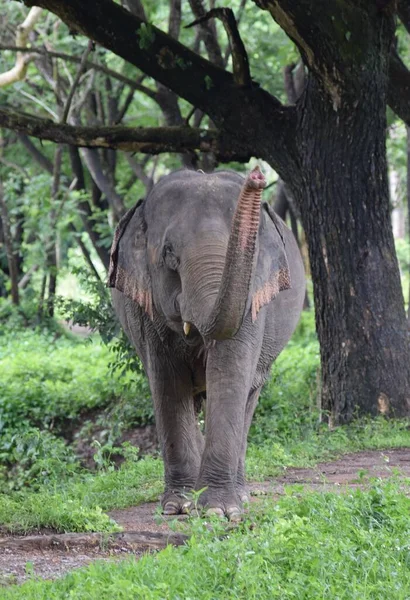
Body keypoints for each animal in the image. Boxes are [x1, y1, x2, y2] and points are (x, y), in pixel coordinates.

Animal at [108, 165, 304, 520]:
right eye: (170, 254)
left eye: (254, 253)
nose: (257, 175)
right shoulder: (147, 310)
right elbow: (168, 382)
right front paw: (180, 505)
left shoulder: (254, 300)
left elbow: (229, 373)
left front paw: (219, 510)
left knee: (249, 395)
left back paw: (241, 495)